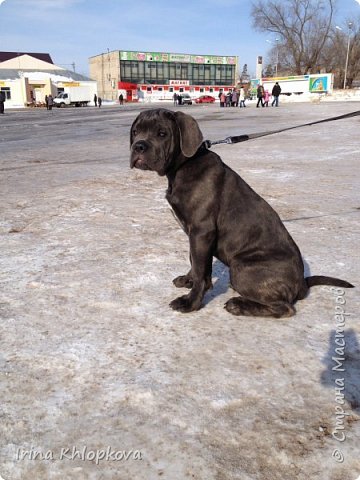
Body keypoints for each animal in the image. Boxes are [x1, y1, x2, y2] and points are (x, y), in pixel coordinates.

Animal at [129, 109, 352, 318]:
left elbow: (200, 269)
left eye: (162, 133)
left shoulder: (201, 230)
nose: (138, 146)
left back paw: (239, 305)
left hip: (241, 267)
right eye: (135, 132)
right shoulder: (196, 234)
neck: (183, 166)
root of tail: (301, 284)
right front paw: (189, 280)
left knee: (285, 308)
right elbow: (196, 262)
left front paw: (191, 302)